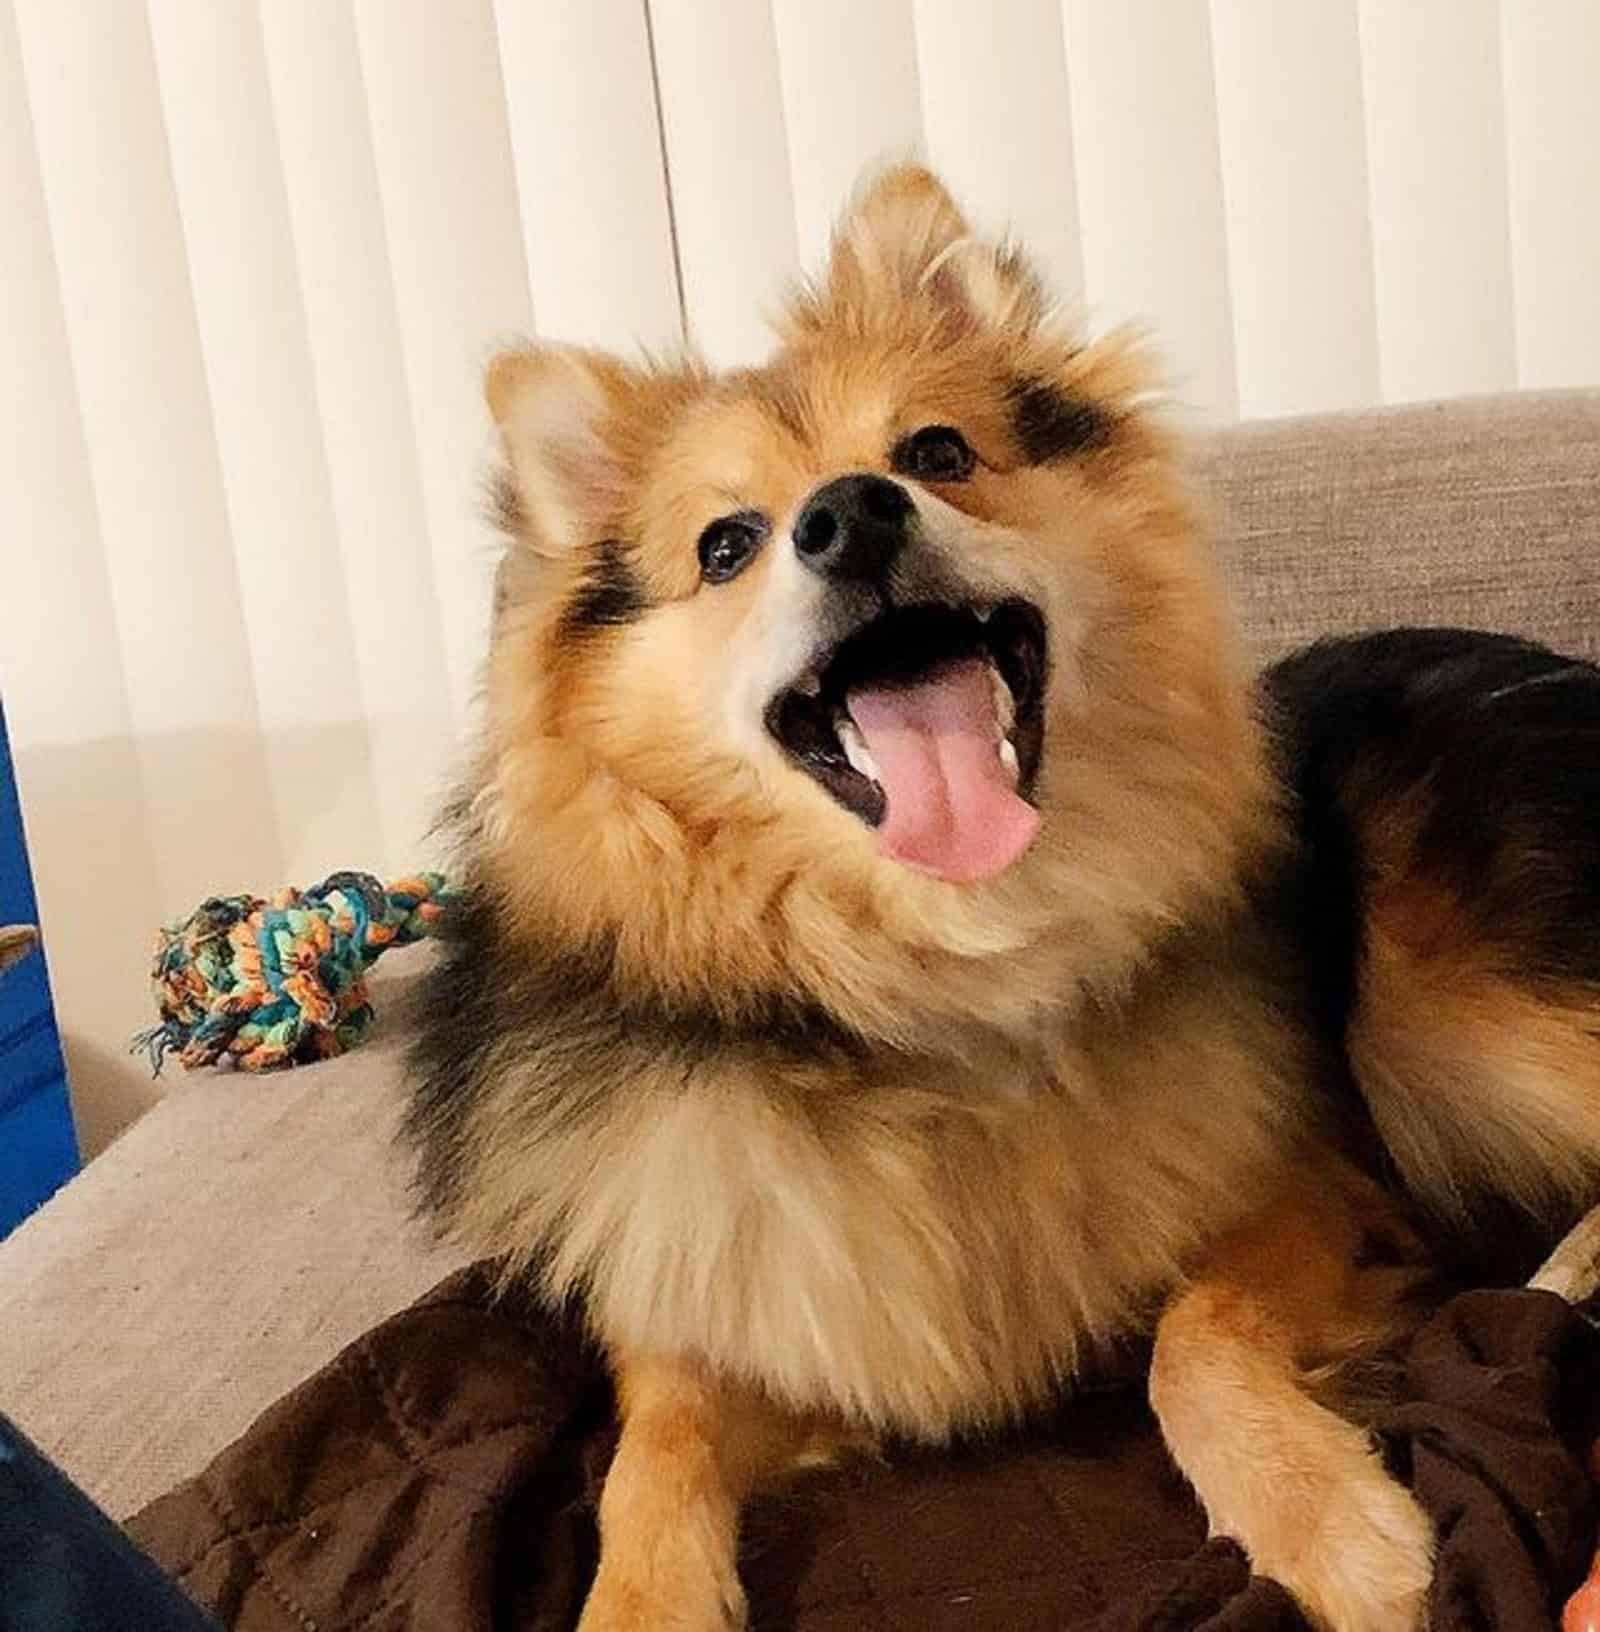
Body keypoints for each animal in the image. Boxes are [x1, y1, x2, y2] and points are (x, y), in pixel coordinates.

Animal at [403, 159, 1600, 1625]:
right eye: (727, 545)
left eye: (936, 454)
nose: (851, 513)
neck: (941, 972)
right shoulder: (727, 1303)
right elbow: (652, 1446)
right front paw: (643, 1601)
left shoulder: (1318, 1192)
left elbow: (1192, 1333)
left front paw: (1326, 1522)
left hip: (1454, 1019)